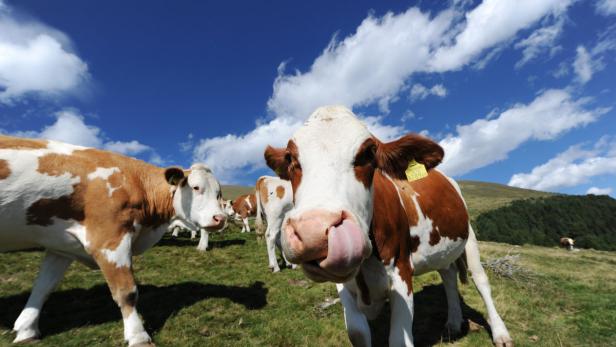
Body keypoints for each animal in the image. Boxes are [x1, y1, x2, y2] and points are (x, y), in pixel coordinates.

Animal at [0, 135, 226, 346]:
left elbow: (43, 288)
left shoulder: (61, 247)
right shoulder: (110, 238)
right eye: (195, 187)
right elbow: (126, 291)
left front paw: (27, 330)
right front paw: (138, 336)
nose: (220, 218)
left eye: (218, 193)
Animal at [262, 106, 512, 347]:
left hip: (469, 237)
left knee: (480, 280)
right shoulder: (344, 286)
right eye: (290, 158)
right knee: (448, 275)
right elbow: (358, 333)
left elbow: (399, 341)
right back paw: (452, 323)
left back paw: (501, 333)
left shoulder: (401, 271)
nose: (313, 233)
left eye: (368, 153)